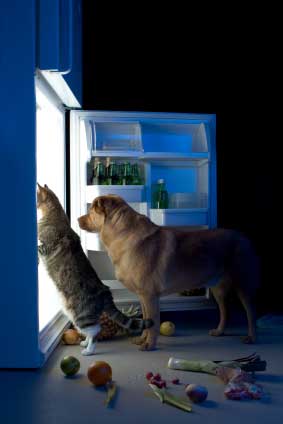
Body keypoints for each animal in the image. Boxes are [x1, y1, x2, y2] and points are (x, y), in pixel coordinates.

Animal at [37, 183, 154, 354]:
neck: (54, 215)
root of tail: (105, 292)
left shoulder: (46, 246)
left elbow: (38, 247)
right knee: (93, 329)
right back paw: (85, 343)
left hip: (81, 316)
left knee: (95, 330)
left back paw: (89, 350)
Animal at [79, 195, 260, 352]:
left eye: (91, 211)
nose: (77, 220)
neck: (124, 232)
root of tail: (244, 238)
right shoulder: (143, 297)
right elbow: (146, 320)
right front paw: (142, 339)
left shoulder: (150, 296)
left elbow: (153, 323)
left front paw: (149, 345)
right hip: (218, 290)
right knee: (225, 311)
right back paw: (220, 331)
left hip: (243, 287)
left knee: (251, 313)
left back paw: (252, 337)